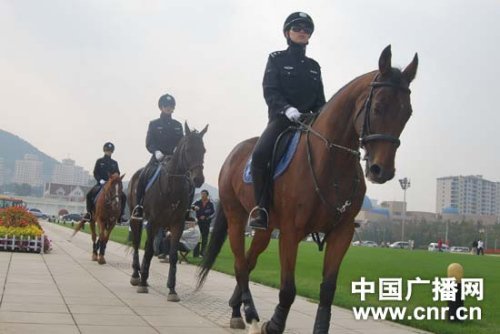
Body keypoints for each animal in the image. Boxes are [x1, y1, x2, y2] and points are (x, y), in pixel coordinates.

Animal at [130, 124, 208, 302]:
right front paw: (142, 283)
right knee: (137, 243)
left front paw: (172, 289)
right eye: (188, 149)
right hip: (137, 219)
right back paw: (137, 275)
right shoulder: (152, 222)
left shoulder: (177, 224)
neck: (171, 186)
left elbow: (172, 254)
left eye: (203, 150)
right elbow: (149, 250)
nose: (198, 179)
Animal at [197, 45, 420, 332]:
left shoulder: (342, 233)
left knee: (248, 261)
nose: (381, 170)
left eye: (408, 113)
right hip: (237, 218)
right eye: (379, 107)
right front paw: (274, 324)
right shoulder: (291, 232)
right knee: (239, 263)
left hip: (265, 229)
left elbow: (327, 290)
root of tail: (233, 154)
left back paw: (239, 309)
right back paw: (249, 311)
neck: (331, 162)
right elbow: (287, 289)